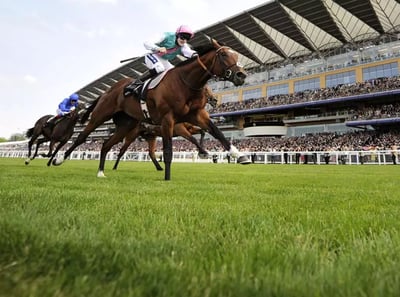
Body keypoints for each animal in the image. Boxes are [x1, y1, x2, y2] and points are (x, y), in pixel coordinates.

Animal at [54, 38, 250, 179]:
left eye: (236, 56)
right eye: (223, 55)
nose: (241, 75)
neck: (185, 82)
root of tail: (107, 91)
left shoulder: (196, 115)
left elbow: (216, 132)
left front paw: (239, 156)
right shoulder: (169, 120)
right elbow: (169, 149)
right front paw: (168, 178)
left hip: (127, 125)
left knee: (106, 144)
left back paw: (101, 171)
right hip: (101, 116)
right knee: (82, 137)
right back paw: (58, 159)